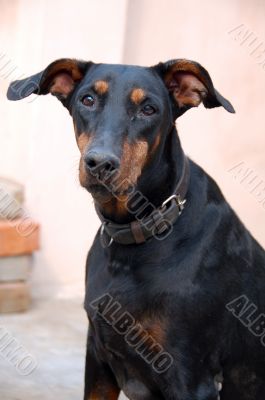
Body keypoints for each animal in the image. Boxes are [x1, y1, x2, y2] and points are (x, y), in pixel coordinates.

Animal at [7, 59, 264, 400]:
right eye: (87, 99)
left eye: (149, 109)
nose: (100, 163)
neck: (138, 234)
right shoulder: (98, 360)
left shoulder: (190, 377)